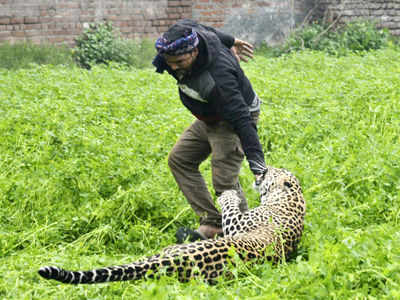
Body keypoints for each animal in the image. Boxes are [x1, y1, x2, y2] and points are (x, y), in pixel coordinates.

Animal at [38, 166, 306, 284]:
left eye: (274, 170)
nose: (263, 168)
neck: (290, 198)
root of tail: (176, 261)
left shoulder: (239, 224)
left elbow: (230, 208)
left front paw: (227, 194)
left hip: (166, 251)